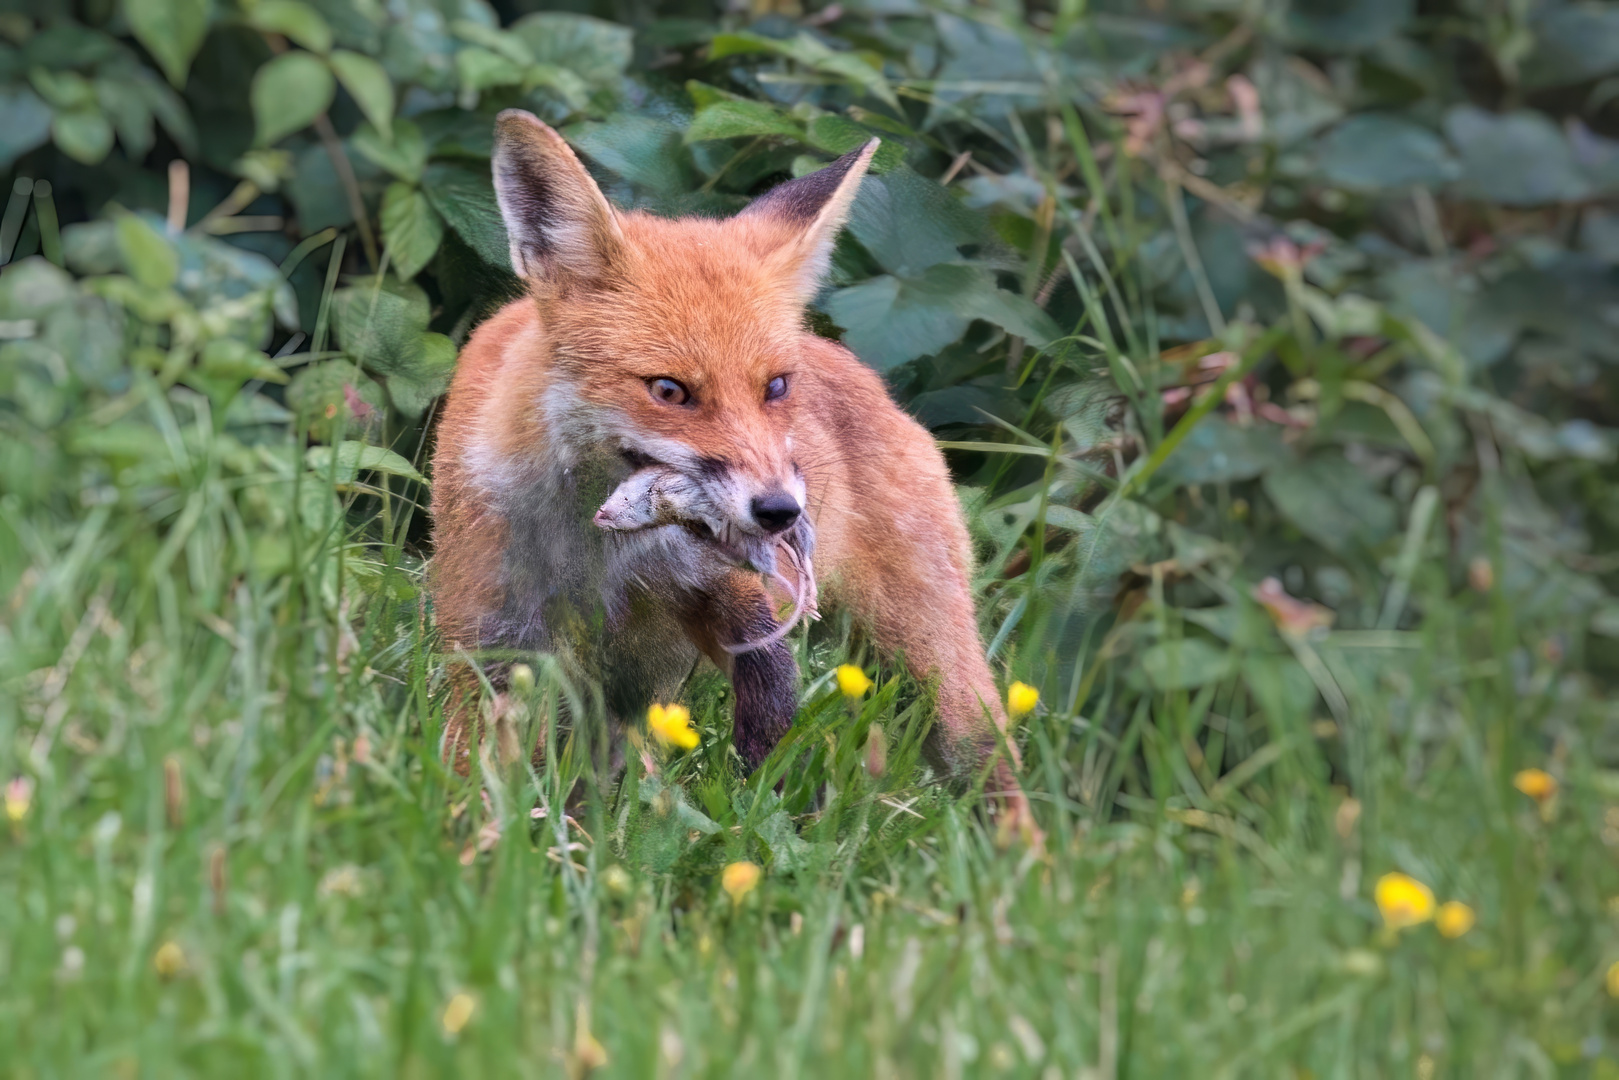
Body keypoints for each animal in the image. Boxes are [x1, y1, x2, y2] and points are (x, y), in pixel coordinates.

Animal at [430, 110, 1036, 835]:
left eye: (774, 387)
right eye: (668, 390)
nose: (779, 512)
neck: (599, 553)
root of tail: (864, 371)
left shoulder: (722, 589)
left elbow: (767, 676)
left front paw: (770, 796)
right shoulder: (491, 635)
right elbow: (472, 770)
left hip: (934, 673)